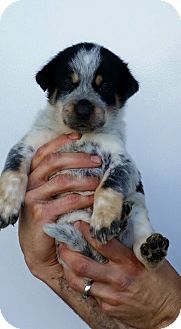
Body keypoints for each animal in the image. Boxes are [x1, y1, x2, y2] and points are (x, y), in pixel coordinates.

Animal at [0, 41, 169, 266]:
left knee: (140, 248)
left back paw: (149, 246)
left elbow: (109, 185)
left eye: (104, 86)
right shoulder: (27, 144)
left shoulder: (123, 160)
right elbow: (13, 171)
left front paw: (104, 219)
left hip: (138, 204)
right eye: (67, 83)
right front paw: (6, 205)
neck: (80, 134)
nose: (83, 110)